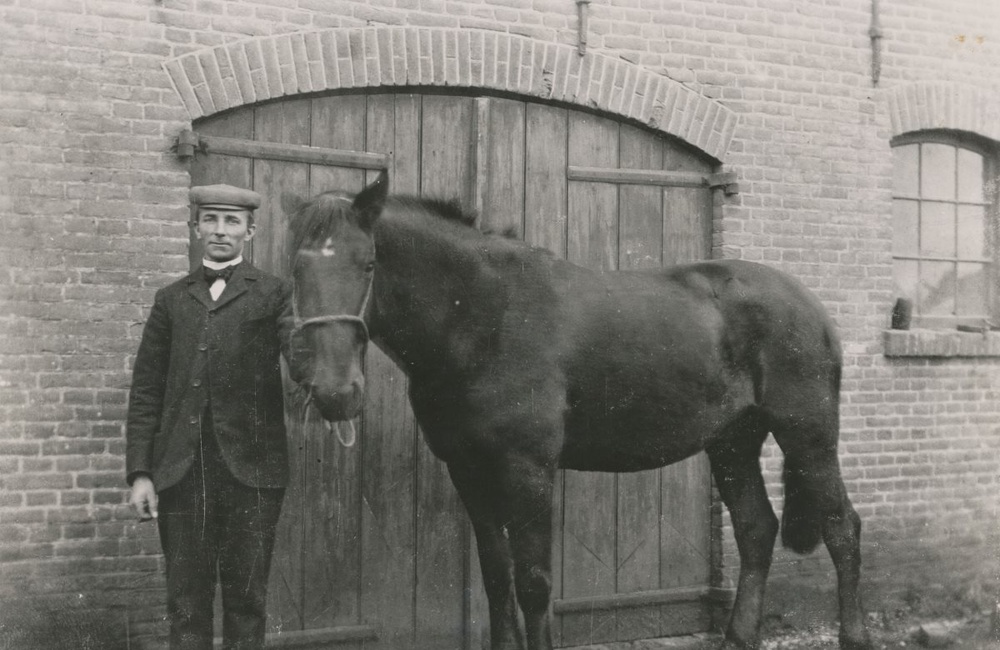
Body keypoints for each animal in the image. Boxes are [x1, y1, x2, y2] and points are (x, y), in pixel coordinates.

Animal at [284, 170, 871, 650]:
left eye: (369, 263)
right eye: (294, 269)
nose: (335, 392)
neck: (483, 319)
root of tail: (809, 304)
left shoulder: (528, 469)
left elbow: (533, 581)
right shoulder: (468, 470)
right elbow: (496, 578)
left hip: (808, 433)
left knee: (842, 526)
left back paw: (854, 635)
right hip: (732, 440)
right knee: (755, 529)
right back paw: (738, 637)